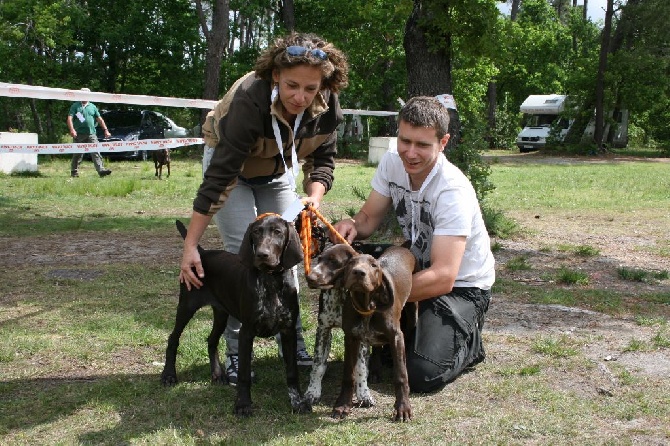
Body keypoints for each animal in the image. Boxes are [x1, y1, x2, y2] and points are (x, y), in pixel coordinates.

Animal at [334, 246, 418, 424]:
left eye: (373, 265)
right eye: (351, 263)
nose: (358, 273)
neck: (366, 306)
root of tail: (402, 247)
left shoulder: (396, 337)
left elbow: (400, 375)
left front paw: (403, 408)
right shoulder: (350, 338)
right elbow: (348, 375)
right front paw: (343, 405)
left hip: (413, 310)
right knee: (378, 347)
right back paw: (375, 371)